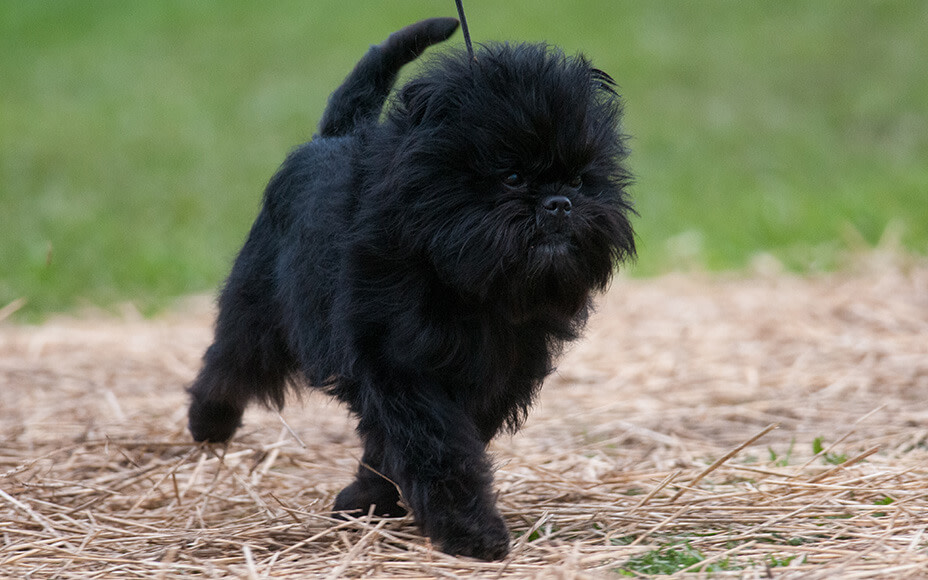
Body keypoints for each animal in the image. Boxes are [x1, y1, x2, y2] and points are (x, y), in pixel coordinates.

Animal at [188, 18, 640, 560]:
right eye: (511, 176)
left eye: (578, 179)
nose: (559, 203)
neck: (467, 284)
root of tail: (333, 135)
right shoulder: (398, 366)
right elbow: (437, 449)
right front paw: (471, 531)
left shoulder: (495, 377)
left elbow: (408, 447)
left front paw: (367, 500)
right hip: (260, 302)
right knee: (231, 358)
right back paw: (208, 422)